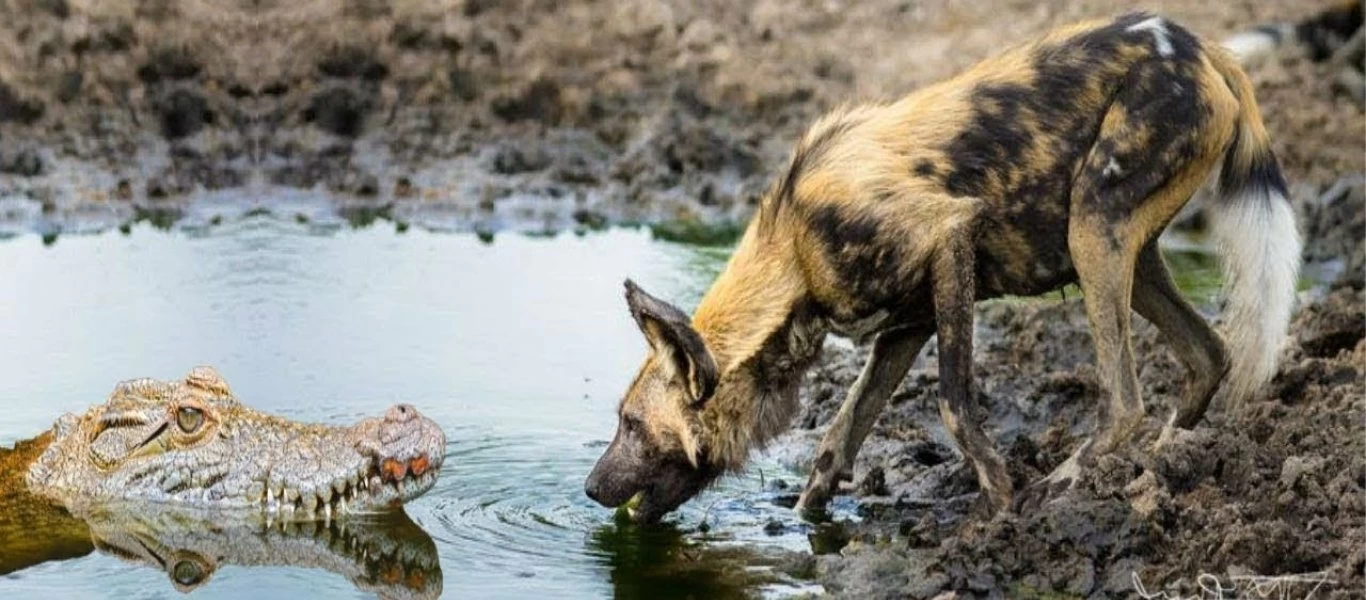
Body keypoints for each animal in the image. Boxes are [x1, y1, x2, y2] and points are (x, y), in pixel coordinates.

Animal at [584, 11, 1300, 524]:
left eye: (632, 426)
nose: (590, 487)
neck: (792, 259)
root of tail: (1206, 48)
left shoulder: (948, 239)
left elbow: (954, 406)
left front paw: (1002, 503)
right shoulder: (907, 323)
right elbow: (837, 439)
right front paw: (804, 522)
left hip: (1094, 229)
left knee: (1125, 402)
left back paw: (1064, 486)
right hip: (1124, 250)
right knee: (1208, 354)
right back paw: (1164, 464)